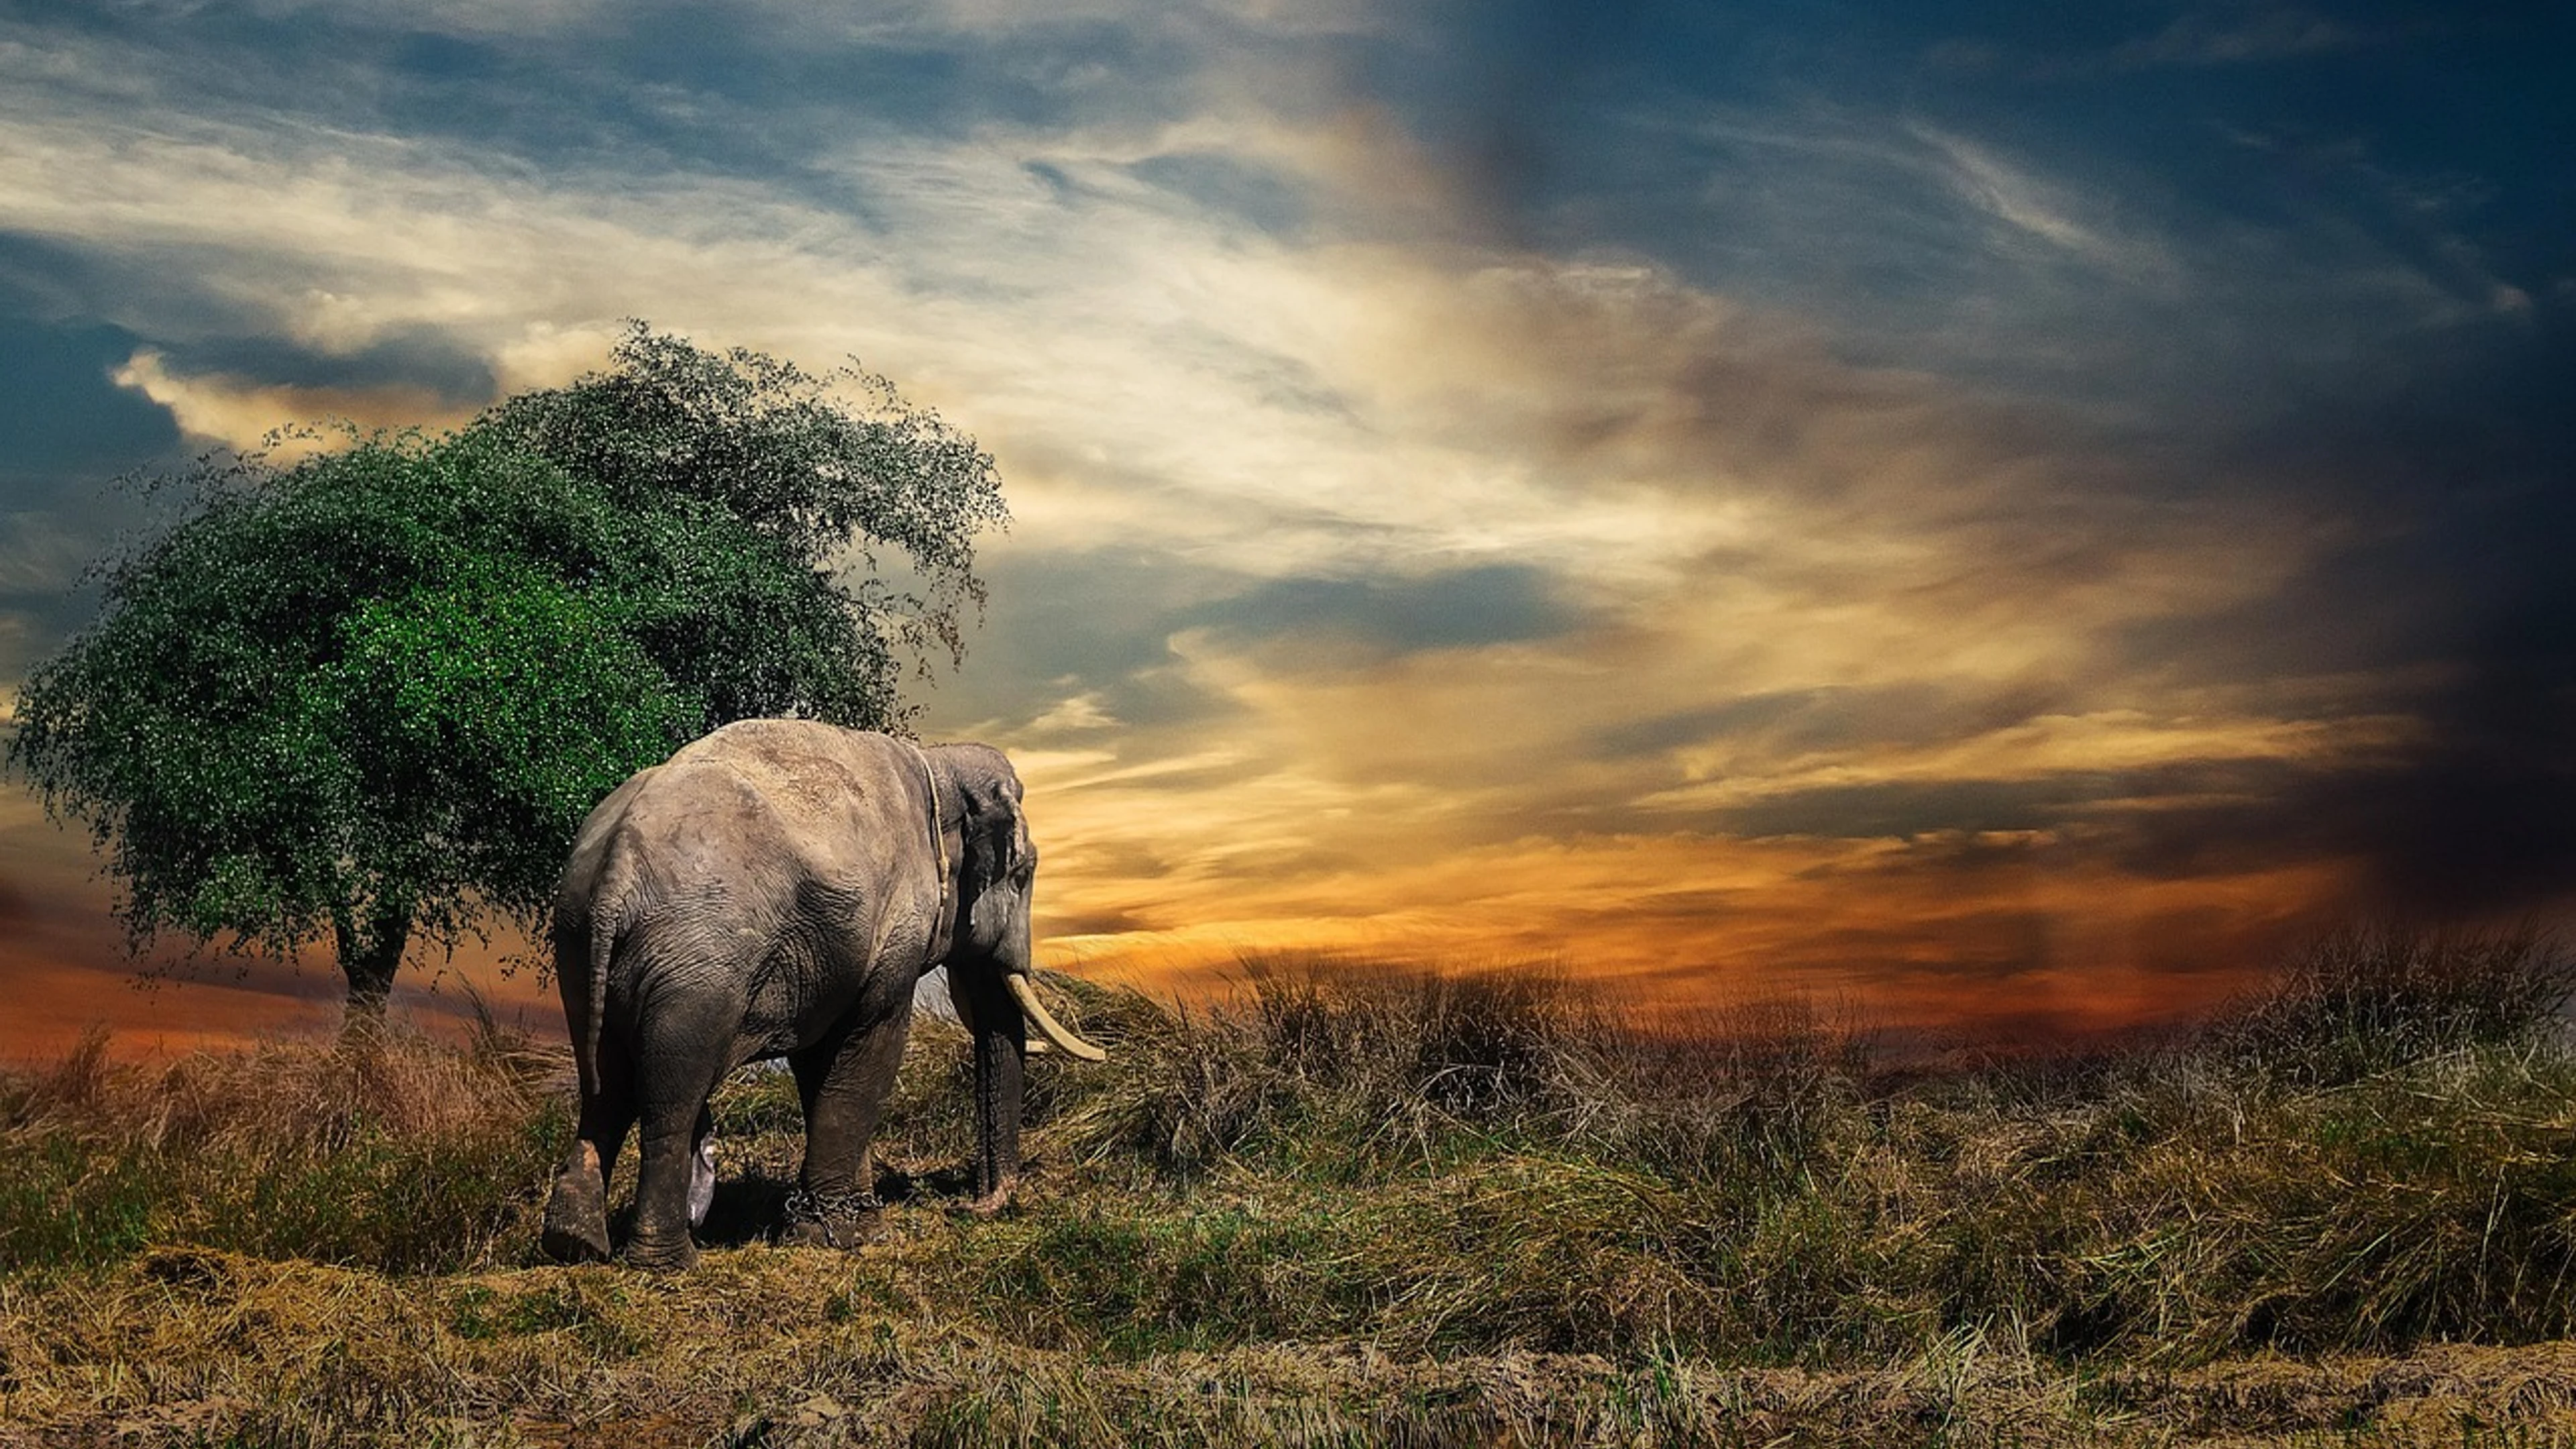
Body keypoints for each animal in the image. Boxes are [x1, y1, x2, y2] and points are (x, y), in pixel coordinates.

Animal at [538, 718, 1106, 1270]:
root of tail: (616, 867)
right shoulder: (893, 929)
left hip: (578, 946)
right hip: (696, 961)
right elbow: (872, 1046)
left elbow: (822, 1063)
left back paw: (575, 1244)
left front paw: (855, 1226)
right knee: (669, 1096)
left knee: (605, 1085)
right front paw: (840, 1237)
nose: (968, 1205)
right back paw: (668, 1262)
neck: (937, 764)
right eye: (1024, 873)